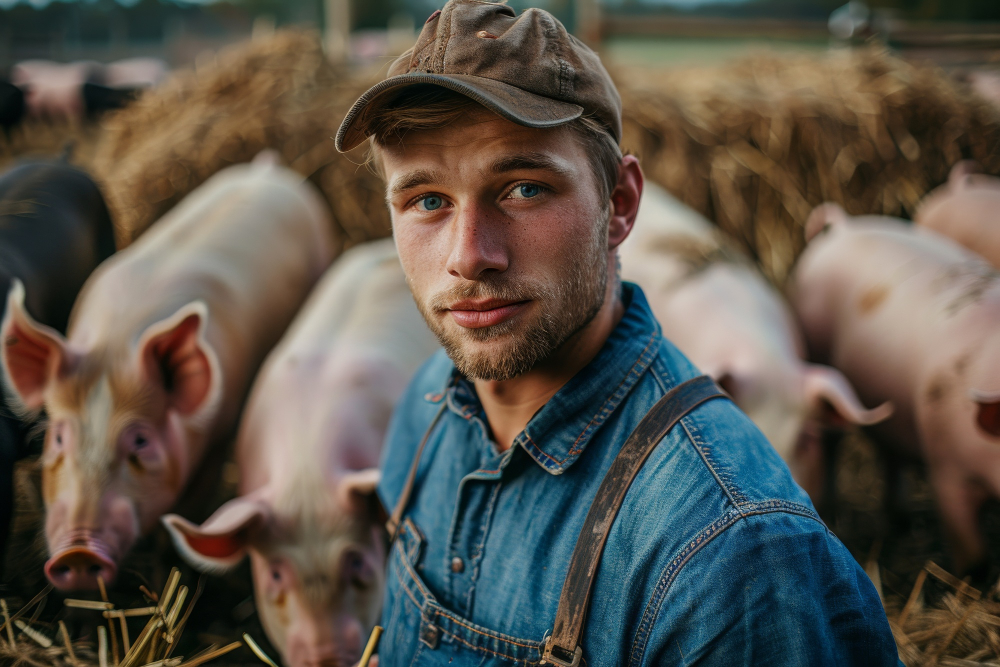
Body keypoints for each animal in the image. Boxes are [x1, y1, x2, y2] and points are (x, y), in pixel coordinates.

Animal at [0, 155, 338, 588]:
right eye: (59, 437)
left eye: (141, 440)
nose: (77, 552)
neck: (115, 348)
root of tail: (268, 168)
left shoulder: (218, 437)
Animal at [792, 204, 1000, 568]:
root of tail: (843, 227)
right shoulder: (947, 465)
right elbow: (970, 549)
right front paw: (972, 573)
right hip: (819, 354)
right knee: (833, 442)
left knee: (891, 453)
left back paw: (900, 519)